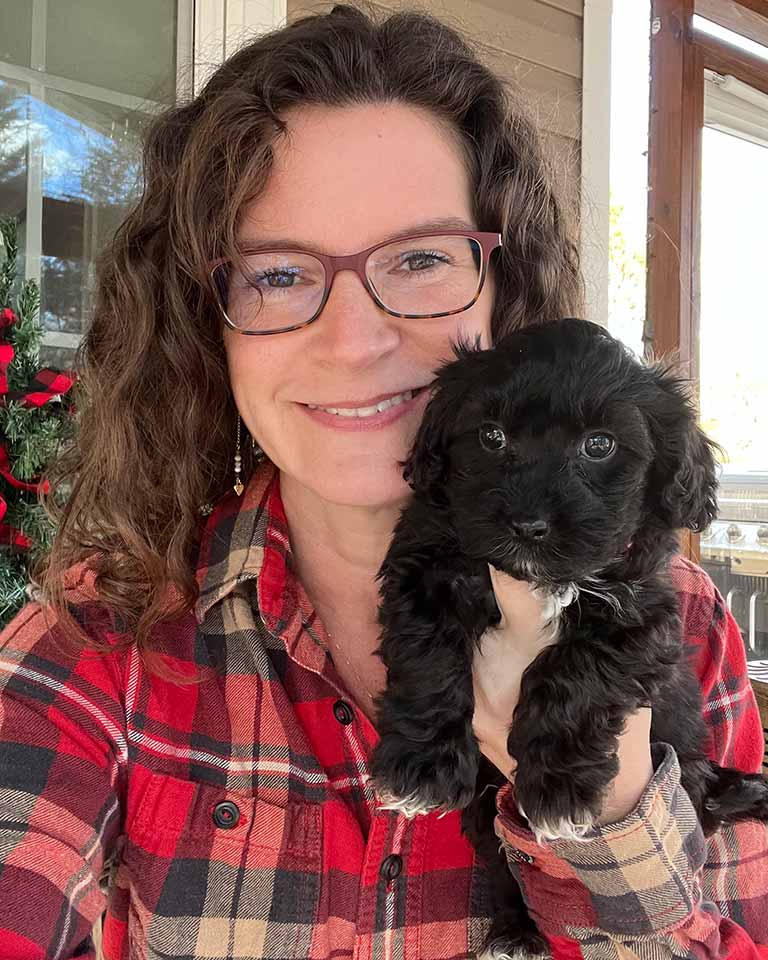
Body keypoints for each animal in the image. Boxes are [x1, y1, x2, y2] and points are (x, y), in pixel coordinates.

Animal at [368, 318, 764, 956]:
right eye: (492, 436)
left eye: (599, 445)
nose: (527, 524)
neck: (540, 580)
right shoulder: (423, 570)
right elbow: (428, 656)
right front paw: (420, 766)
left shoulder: (639, 618)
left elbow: (573, 672)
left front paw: (557, 791)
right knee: (503, 861)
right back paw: (516, 930)